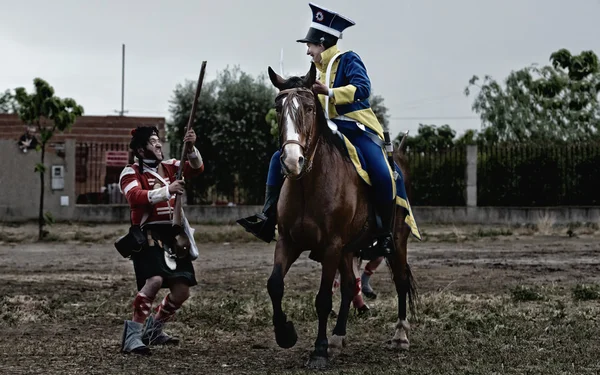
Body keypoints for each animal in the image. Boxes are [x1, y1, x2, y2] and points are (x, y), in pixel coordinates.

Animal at [264, 62, 414, 370]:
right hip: (349, 249)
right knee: (348, 288)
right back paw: (337, 338)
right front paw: (286, 333)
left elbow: (323, 299)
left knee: (401, 281)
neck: (308, 184)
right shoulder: (288, 241)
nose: (291, 160)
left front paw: (319, 350)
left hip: (397, 241)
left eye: (310, 107)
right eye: (277, 108)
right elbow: (275, 285)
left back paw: (400, 336)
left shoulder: (331, 246)